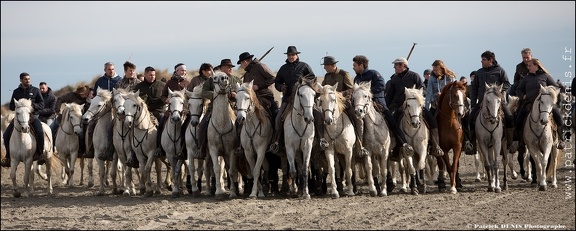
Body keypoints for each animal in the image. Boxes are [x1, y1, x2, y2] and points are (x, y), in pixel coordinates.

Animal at [208, 71, 240, 199]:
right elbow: (217, 169)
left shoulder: (231, 151)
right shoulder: (213, 150)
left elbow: (231, 171)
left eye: (225, 75)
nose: (224, 78)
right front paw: (218, 192)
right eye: (214, 77)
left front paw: (232, 193)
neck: (221, 124)